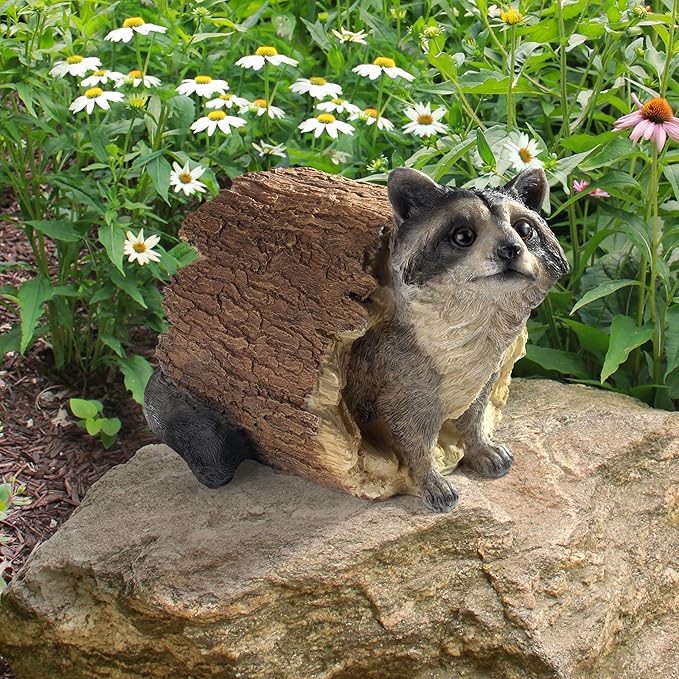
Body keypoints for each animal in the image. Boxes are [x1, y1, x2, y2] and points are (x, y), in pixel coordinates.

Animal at [342, 166, 569, 512]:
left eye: (525, 229)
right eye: (463, 236)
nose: (510, 249)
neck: (480, 315)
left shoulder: (484, 375)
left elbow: (474, 414)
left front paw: (480, 446)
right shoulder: (403, 377)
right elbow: (414, 436)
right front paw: (430, 478)